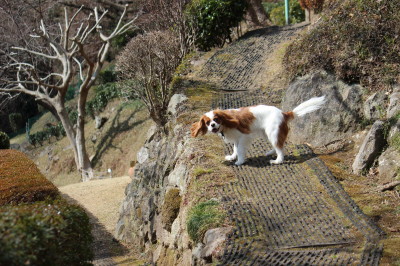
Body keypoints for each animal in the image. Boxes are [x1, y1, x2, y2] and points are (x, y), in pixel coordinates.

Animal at [191, 96, 324, 165]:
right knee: (279, 145)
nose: (213, 125)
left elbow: (240, 150)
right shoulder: (236, 139)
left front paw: (239, 161)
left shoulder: (243, 136)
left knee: (280, 148)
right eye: (207, 123)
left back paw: (277, 161)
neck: (226, 123)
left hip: (273, 133)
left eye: (216, 119)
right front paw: (233, 157)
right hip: (266, 133)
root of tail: (284, 113)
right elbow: (235, 148)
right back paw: (270, 153)